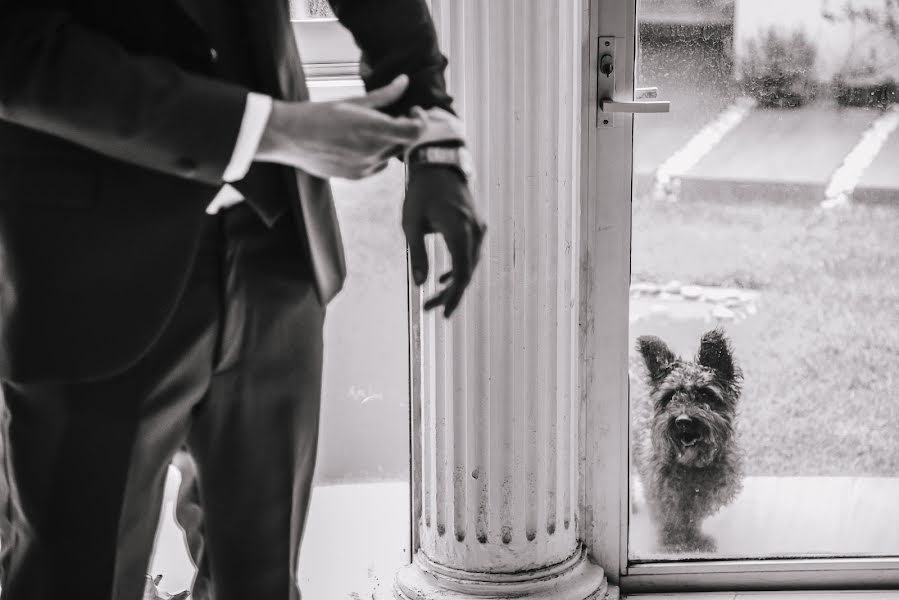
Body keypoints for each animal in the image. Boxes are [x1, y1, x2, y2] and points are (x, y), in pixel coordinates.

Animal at [632, 328, 744, 552]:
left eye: (705, 394)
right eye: (670, 396)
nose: (683, 421)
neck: (691, 465)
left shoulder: (700, 498)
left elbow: (691, 518)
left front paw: (694, 540)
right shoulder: (661, 492)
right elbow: (670, 519)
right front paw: (671, 544)